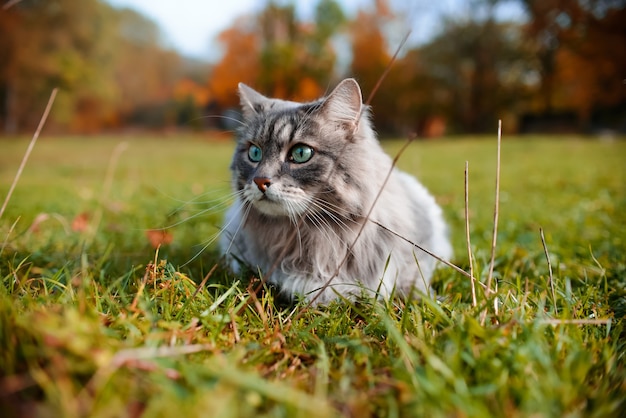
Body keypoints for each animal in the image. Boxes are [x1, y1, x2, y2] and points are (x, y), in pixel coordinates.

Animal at [218, 78, 448, 306]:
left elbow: (413, 287)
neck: (311, 235)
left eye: (301, 153)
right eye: (254, 153)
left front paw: (429, 299)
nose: (260, 181)